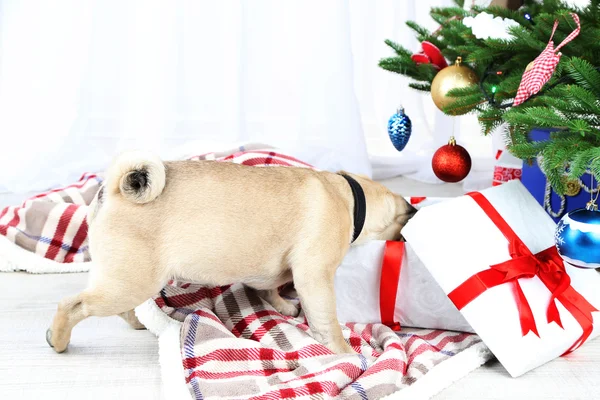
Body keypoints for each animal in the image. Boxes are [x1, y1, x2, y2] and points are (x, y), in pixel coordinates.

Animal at [47, 150, 414, 354]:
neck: (350, 196)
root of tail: (114, 189)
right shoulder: (315, 276)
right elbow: (327, 319)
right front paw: (343, 351)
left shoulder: (273, 270)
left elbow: (270, 286)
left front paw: (282, 305)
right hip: (134, 279)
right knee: (73, 305)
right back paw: (59, 340)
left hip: (122, 275)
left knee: (114, 305)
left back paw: (137, 322)